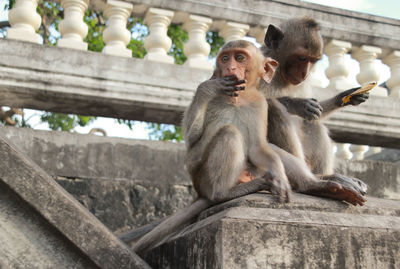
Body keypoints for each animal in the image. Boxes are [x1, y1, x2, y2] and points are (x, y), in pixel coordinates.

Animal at [131, 39, 290, 253]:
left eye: (240, 58)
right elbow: (191, 139)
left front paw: (280, 175)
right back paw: (222, 194)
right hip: (203, 176)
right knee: (229, 133)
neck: (237, 98)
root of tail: (199, 191)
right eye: (225, 58)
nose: (230, 68)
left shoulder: (259, 103)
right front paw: (207, 87)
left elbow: (257, 148)